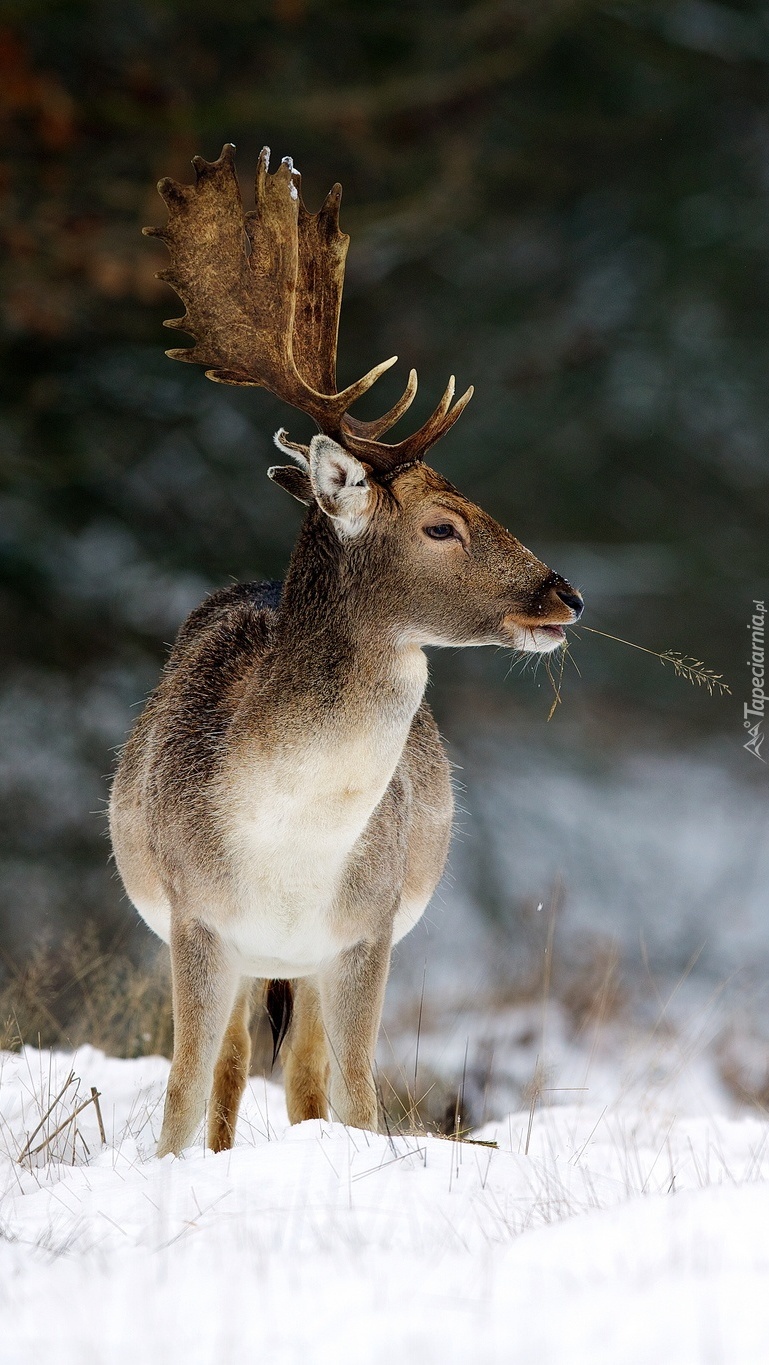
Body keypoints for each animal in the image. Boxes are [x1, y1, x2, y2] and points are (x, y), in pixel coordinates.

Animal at [109, 146, 584, 1152]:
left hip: (317, 958)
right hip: (240, 952)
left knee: (303, 1077)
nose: (562, 594)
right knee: (231, 1069)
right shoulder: (195, 917)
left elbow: (359, 1095)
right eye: (442, 525)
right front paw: (171, 1167)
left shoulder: (366, 928)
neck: (289, 847)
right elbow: (179, 1090)